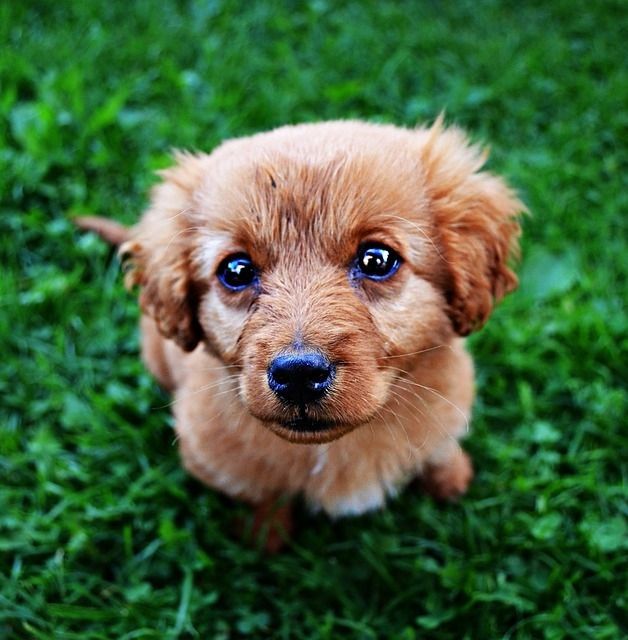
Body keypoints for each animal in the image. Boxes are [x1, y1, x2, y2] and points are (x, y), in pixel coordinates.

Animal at [76, 117, 524, 548]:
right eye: (236, 270)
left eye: (377, 260)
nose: (298, 374)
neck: (333, 447)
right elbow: (263, 494)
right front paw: (265, 537)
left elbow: (440, 448)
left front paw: (451, 479)